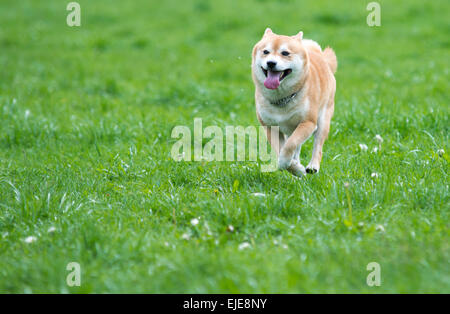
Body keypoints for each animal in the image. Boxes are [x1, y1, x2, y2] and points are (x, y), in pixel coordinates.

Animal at [251, 28, 336, 177]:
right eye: (266, 52)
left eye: (285, 53)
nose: (271, 63)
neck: (282, 98)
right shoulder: (270, 127)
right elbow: (282, 148)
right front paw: (295, 168)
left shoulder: (308, 123)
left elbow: (289, 146)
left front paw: (285, 162)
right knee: (296, 148)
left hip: (322, 121)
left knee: (317, 146)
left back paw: (313, 166)